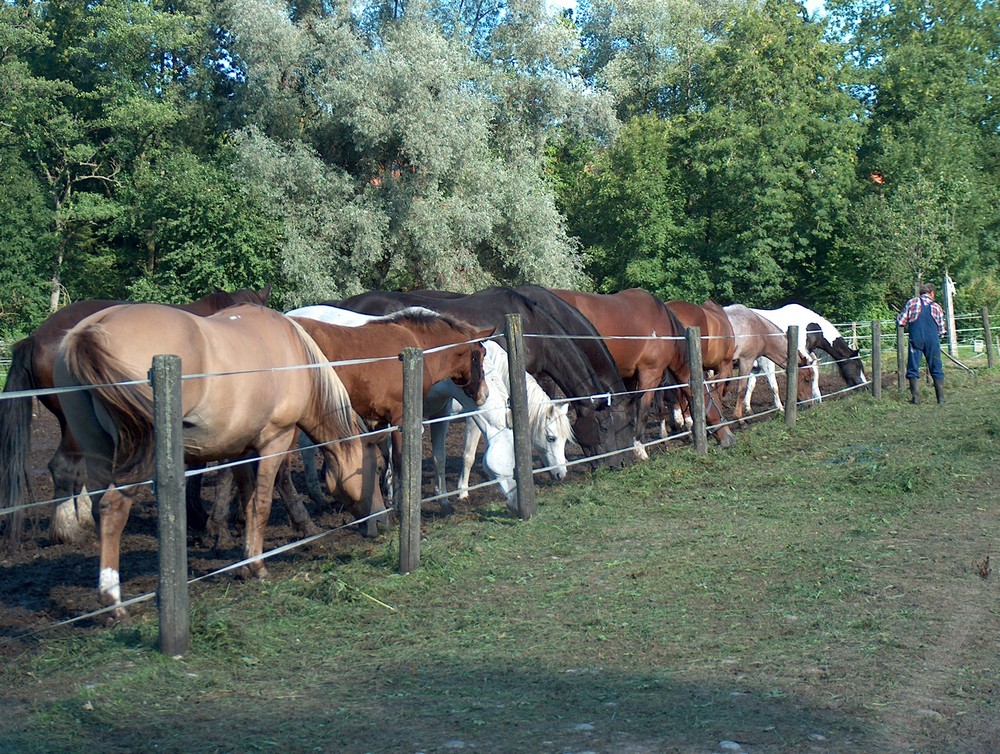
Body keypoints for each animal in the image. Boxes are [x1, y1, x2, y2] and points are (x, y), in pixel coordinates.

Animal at [49, 300, 376, 612]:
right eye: (374, 467)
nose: (381, 524)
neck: (294, 351)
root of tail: (91, 331)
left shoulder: (241, 449)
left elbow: (247, 501)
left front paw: (244, 563)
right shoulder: (276, 439)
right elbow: (261, 505)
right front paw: (258, 567)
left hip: (97, 449)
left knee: (98, 508)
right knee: (112, 508)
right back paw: (113, 603)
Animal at [548, 286, 736, 452]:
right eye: (715, 401)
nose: (729, 437)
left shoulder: (629, 376)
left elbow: (629, 410)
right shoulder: (650, 374)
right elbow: (643, 410)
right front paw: (639, 448)